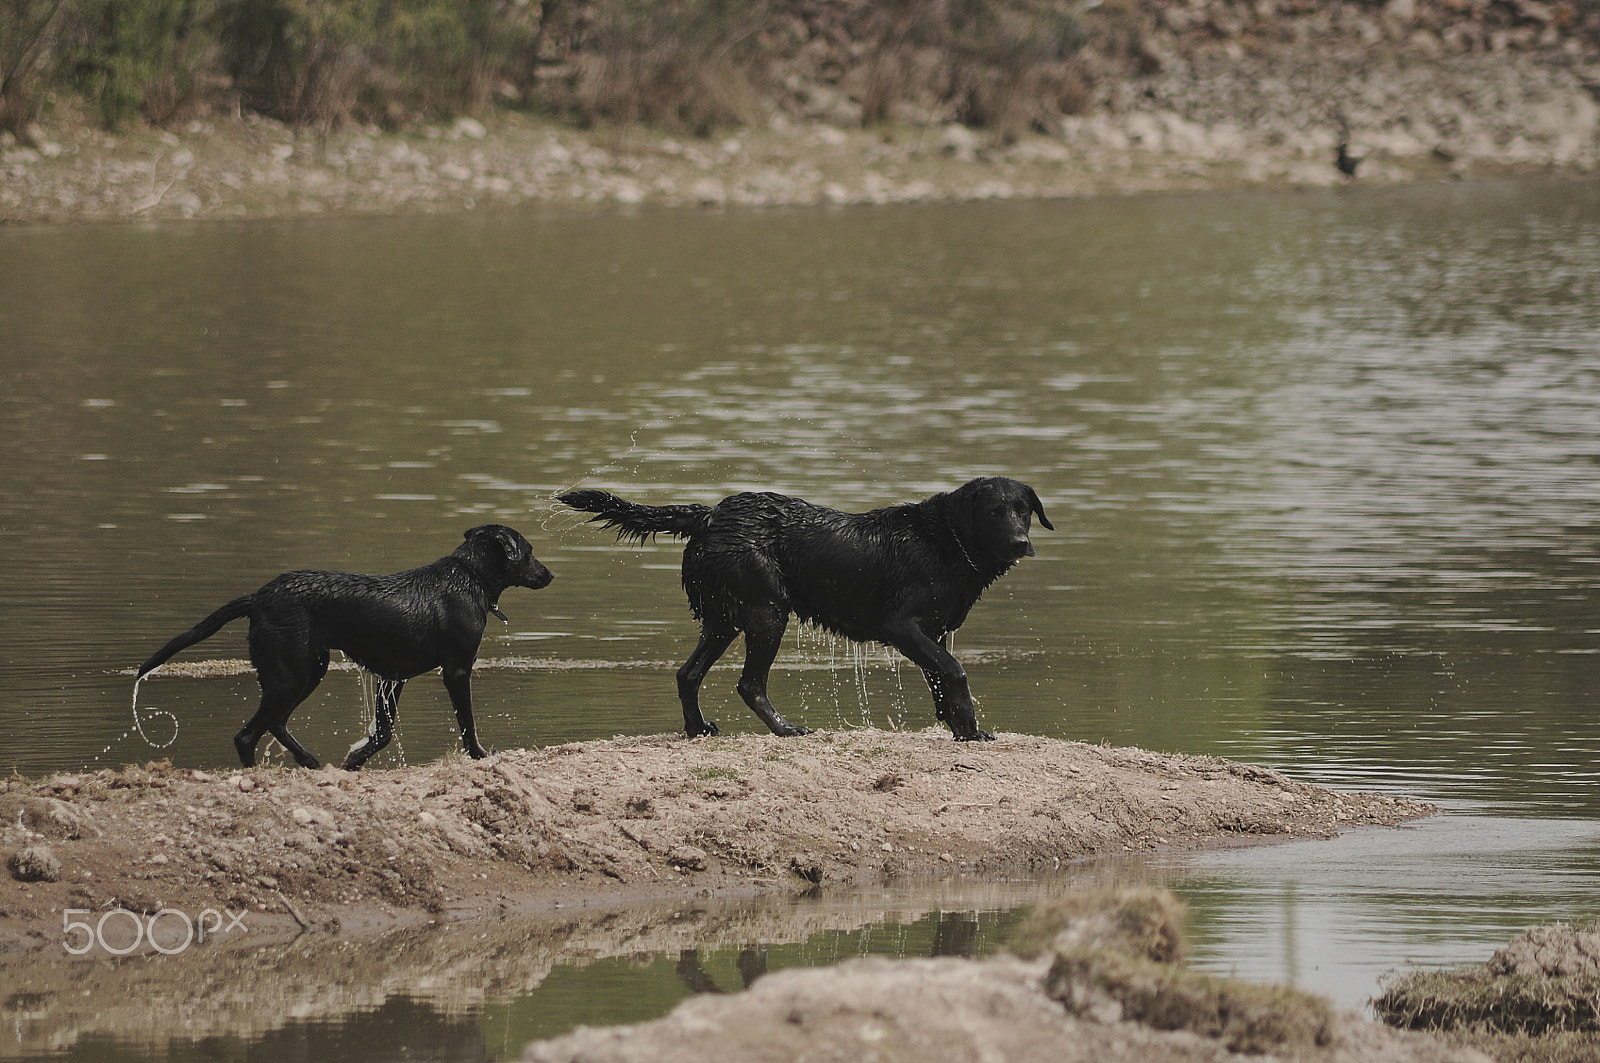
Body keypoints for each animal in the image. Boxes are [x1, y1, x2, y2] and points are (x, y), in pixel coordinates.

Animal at [134, 525, 556, 768]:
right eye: (530, 550)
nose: (550, 574)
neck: (470, 577)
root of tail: (258, 597)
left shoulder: (392, 677)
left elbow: (383, 732)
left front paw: (355, 759)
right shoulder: (456, 670)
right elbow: (467, 723)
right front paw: (481, 756)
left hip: (309, 669)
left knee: (276, 723)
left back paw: (309, 761)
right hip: (291, 673)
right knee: (249, 734)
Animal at [563, 477, 1049, 742]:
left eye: (1024, 510)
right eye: (994, 511)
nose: (1020, 543)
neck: (948, 541)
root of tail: (710, 515)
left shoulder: (935, 631)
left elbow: (941, 680)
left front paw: (956, 724)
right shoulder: (902, 627)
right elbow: (954, 671)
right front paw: (969, 728)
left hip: (724, 619)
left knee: (688, 674)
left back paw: (698, 729)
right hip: (768, 611)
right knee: (749, 684)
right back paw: (786, 729)